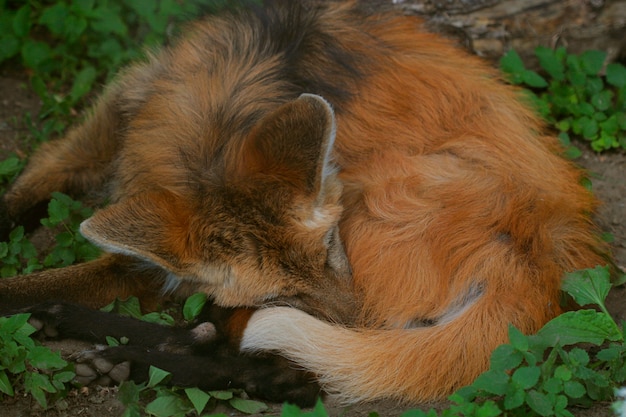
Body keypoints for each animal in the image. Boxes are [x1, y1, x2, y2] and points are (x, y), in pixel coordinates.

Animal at [0, 0, 608, 406]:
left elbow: (37, 285)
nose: (361, 321)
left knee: (265, 359)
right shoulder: (121, 121)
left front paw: (40, 304)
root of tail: (539, 260)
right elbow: (27, 191)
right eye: (284, 292)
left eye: (333, 249)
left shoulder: (153, 268)